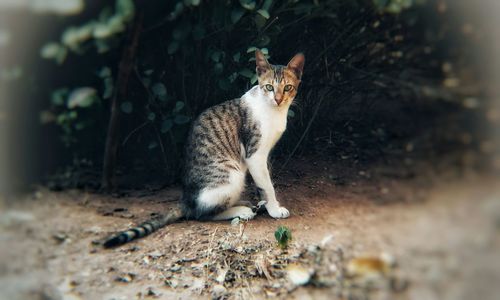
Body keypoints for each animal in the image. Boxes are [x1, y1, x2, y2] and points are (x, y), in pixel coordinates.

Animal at [103, 50, 302, 248]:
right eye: (269, 87)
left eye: (287, 88)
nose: (278, 99)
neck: (274, 112)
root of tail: (185, 199)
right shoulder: (255, 154)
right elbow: (266, 186)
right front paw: (274, 209)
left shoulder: (264, 155)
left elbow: (266, 182)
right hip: (231, 174)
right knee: (201, 213)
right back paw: (241, 211)